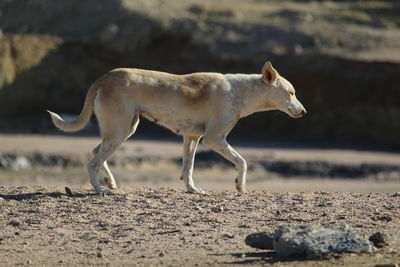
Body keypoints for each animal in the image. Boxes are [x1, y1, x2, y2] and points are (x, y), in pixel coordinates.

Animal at [49, 60, 306, 195]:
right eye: (291, 93)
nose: (304, 112)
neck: (240, 92)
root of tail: (104, 77)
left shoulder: (192, 138)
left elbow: (188, 169)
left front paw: (192, 189)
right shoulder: (214, 139)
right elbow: (242, 162)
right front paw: (240, 186)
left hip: (123, 130)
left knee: (96, 153)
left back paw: (109, 183)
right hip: (120, 132)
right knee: (92, 162)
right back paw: (100, 190)